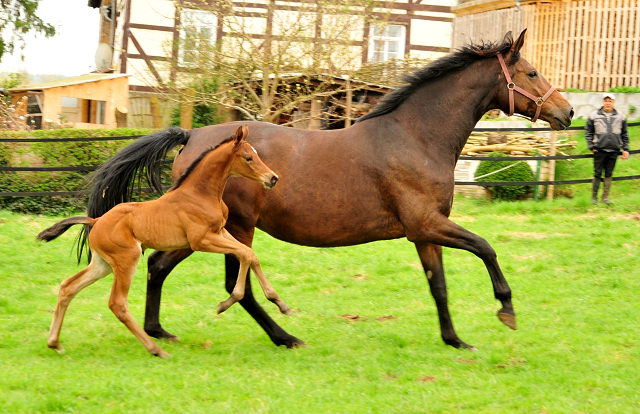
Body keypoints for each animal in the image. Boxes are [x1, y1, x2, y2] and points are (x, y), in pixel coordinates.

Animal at [37, 125, 290, 356]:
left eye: (257, 154)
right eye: (248, 157)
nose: (273, 178)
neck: (199, 194)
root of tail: (96, 220)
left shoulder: (220, 232)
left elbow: (250, 255)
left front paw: (280, 303)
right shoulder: (201, 241)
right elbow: (245, 254)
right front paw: (227, 302)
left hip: (102, 264)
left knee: (68, 287)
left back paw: (54, 343)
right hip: (126, 260)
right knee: (117, 303)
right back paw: (156, 349)